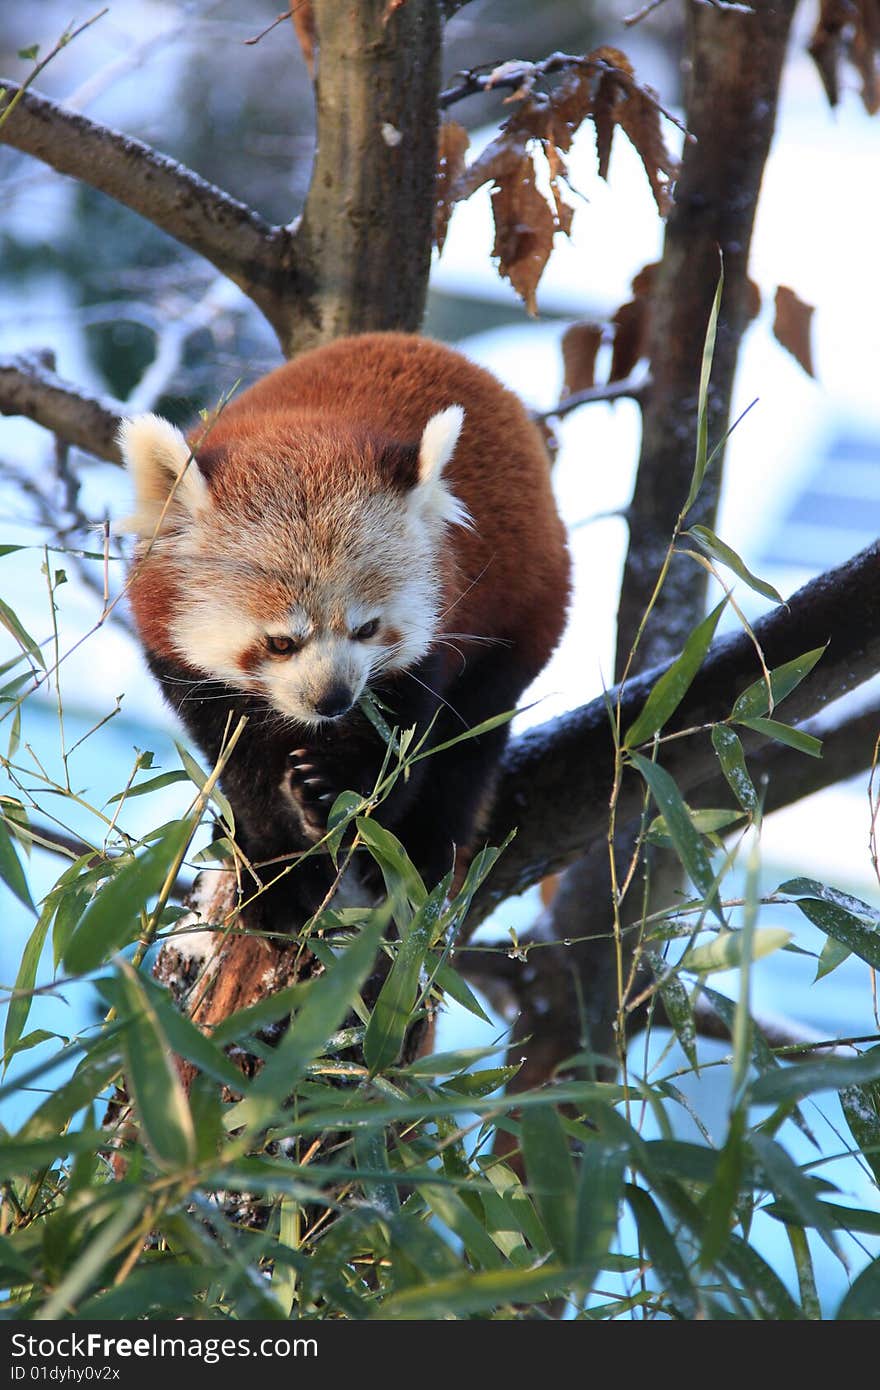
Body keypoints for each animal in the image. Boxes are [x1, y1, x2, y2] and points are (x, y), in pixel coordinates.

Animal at [116, 332, 569, 928]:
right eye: (280, 642)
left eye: (368, 628)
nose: (331, 700)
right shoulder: (180, 660)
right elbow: (238, 770)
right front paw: (274, 875)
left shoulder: (433, 638)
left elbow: (403, 749)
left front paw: (335, 799)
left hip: (525, 607)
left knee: (470, 743)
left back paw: (425, 852)